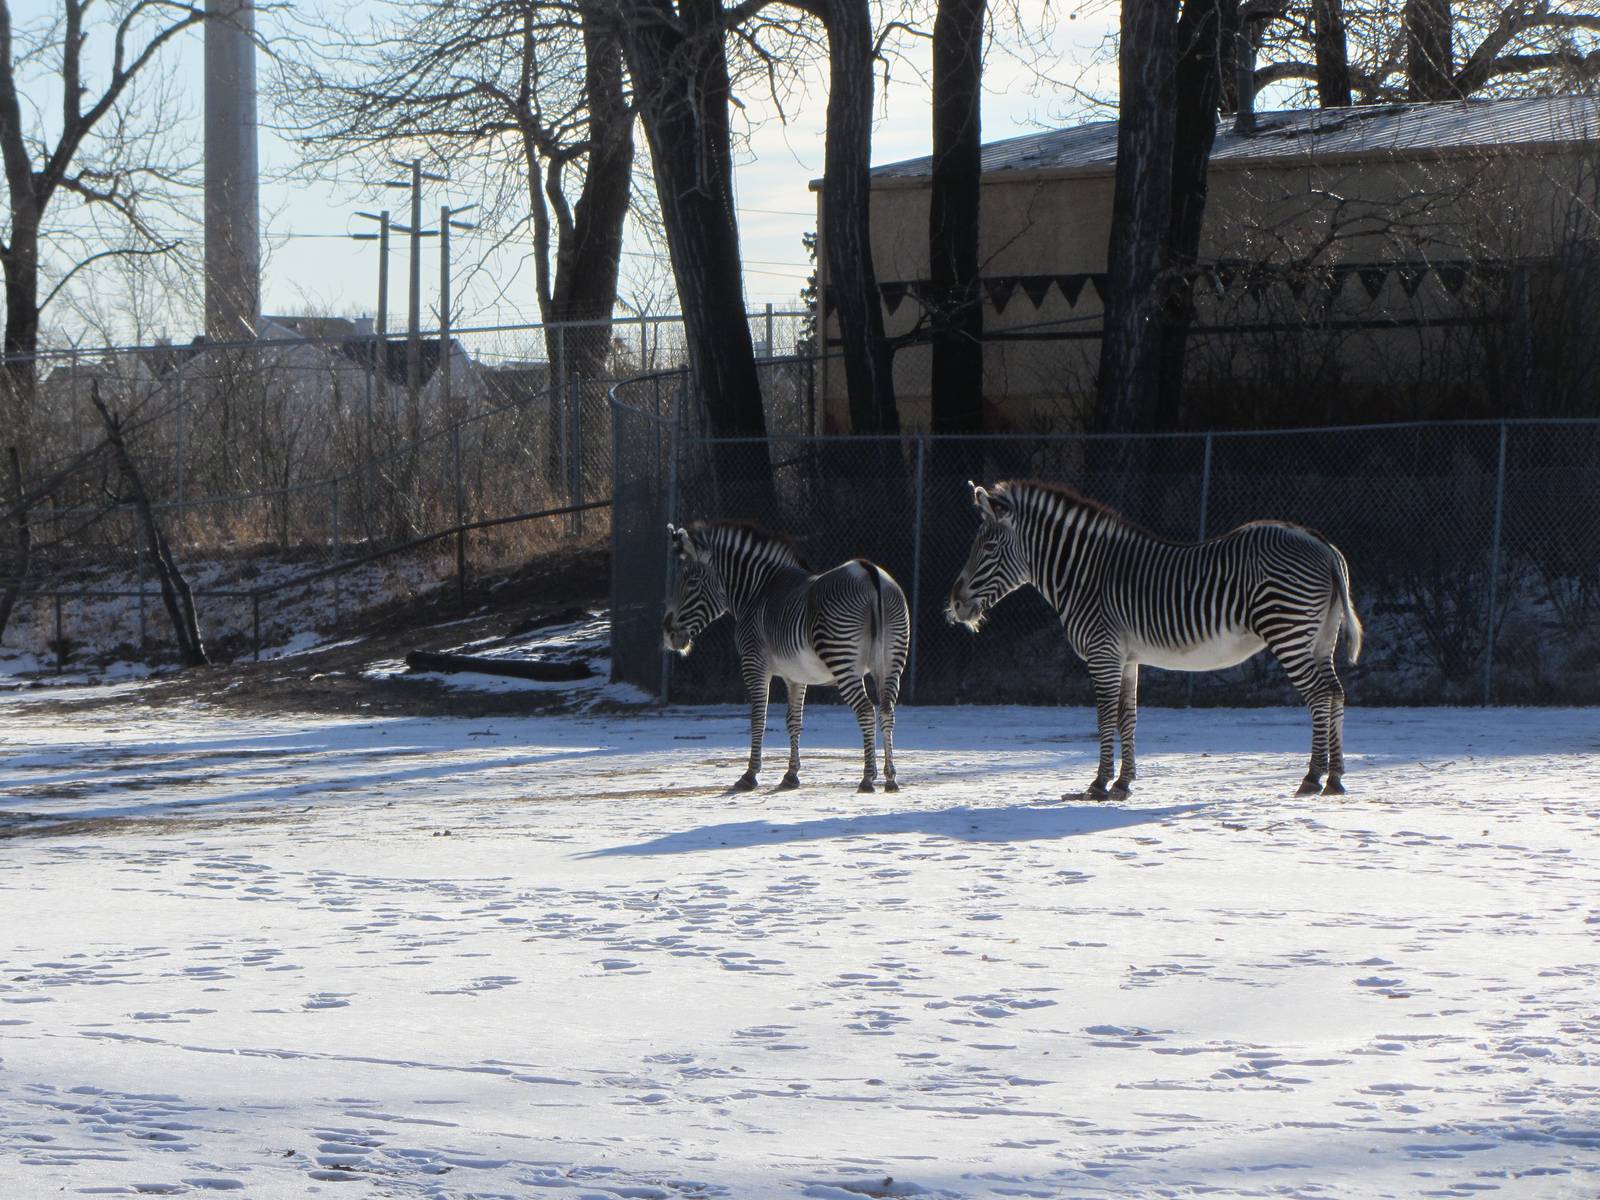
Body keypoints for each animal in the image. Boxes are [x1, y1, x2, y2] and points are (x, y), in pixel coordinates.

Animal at [662, 521, 911, 793]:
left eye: (691, 582)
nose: (667, 634)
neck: (757, 593)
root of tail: (869, 572)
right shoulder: (796, 675)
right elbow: (794, 720)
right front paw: (791, 775)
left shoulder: (754, 663)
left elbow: (758, 718)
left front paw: (750, 775)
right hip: (892, 660)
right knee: (887, 712)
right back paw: (891, 778)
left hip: (843, 658)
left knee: (866, 711)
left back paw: (867, 778)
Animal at [947, 480, 1363, 799]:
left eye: (988, 548)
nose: (955, 604)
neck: (1084, 576)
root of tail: (1322, 545)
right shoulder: (1127, 657)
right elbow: (1127, 717)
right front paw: (1123, 783)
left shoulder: (1102, 652)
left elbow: (1105, 716)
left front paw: (1098, 785)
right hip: (1319, 638)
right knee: (1335, 692)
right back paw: (1333, 778)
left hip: (1288, 630)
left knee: (1320, 696)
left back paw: (1314, 778)